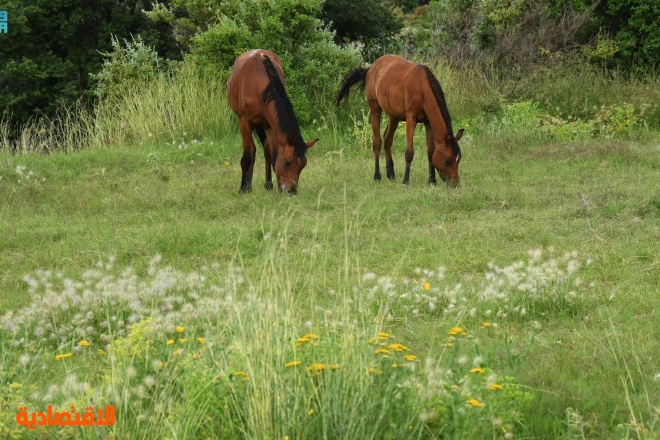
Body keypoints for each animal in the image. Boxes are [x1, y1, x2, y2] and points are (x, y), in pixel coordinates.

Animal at [228, 49, 318, 193]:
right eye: (287, 162)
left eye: (303, 165)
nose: (292, 191)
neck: (256, 83)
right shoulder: (244, 122)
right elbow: (247, 157)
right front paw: (243, 188)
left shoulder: (269, 124)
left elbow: (270, 153)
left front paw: (269, 184)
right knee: (252, 151)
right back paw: (248, 185)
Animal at [336, 54, 464, 186]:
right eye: (448, 160)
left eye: (459, 158)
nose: (455, 183)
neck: (422, 88)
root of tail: (371, 68)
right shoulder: (411, 119)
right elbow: (409, 153)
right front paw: (406, 181)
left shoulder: (428, 122)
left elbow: (430, 152)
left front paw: (432, 180)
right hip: (375, 109)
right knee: (377, 142)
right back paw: (377, 176)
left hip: (394, 116)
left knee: (387, 140)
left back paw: (391, 173)